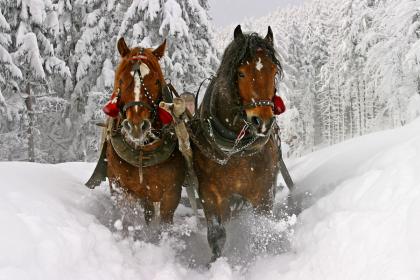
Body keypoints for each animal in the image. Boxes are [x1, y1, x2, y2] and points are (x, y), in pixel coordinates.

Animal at [101, 37, 185, 225]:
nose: (137, 126)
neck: (142, 152)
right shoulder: (120, 187)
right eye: (122, 80)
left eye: (156, 82)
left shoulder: (172, 193)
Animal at [189, 26, 282, 260]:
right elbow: (216, 235)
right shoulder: (210, 194)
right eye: (241, 73)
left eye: (273, 72)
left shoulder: (264, 192)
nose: (262, 121)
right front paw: (216, 262)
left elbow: (262, 230)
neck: (236, 150)